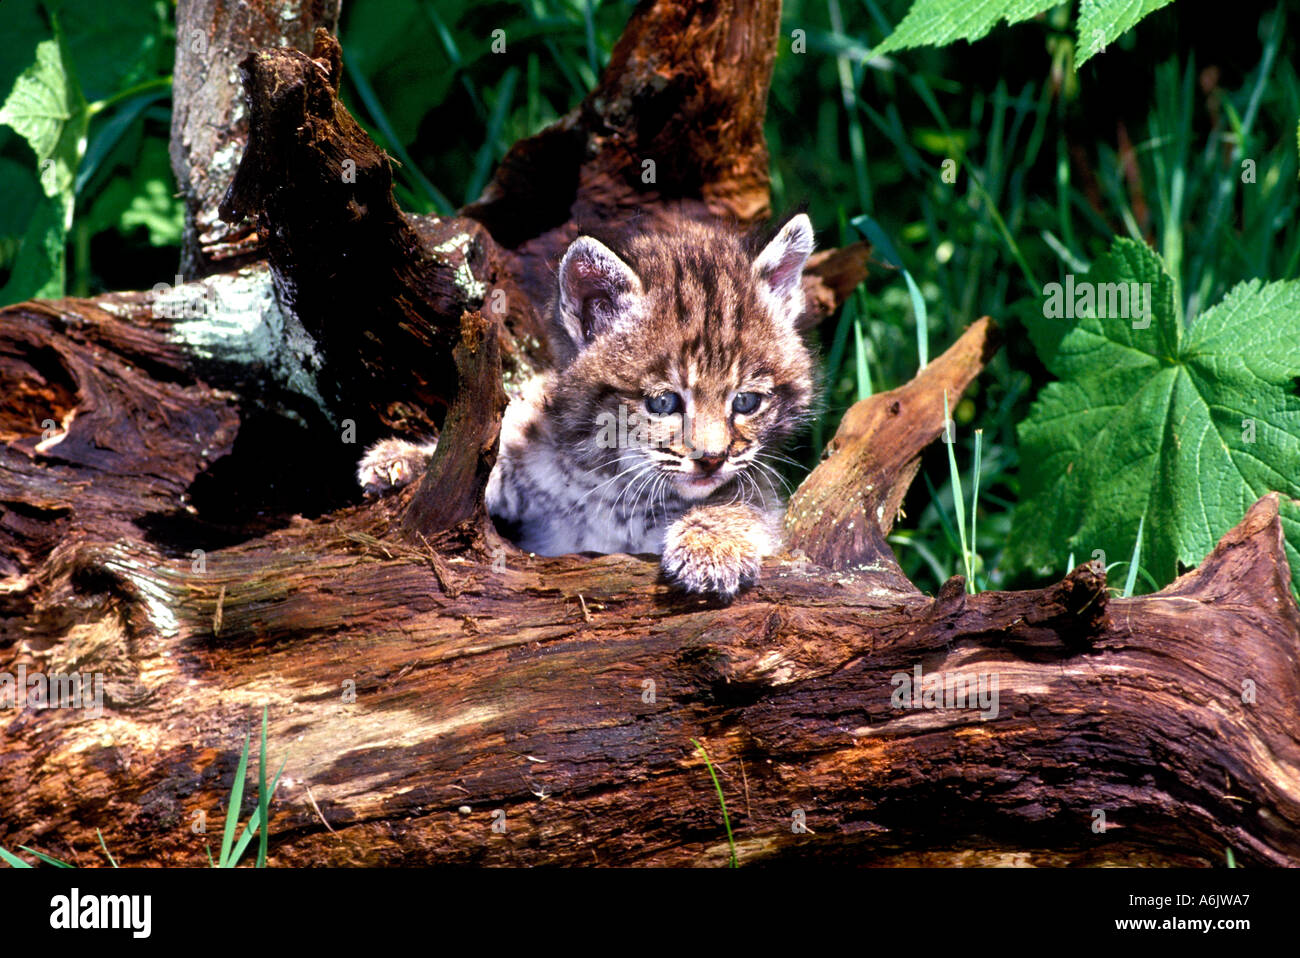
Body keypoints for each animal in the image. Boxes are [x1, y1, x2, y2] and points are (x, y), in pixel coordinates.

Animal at [358, 214, 811, 597]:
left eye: (746, 402)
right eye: (663, 402)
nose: (711, 460)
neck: (612, 483)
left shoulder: (760, 491)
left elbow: (747, 503)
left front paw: (712, 543)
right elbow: (491, 454)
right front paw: (405, 459)